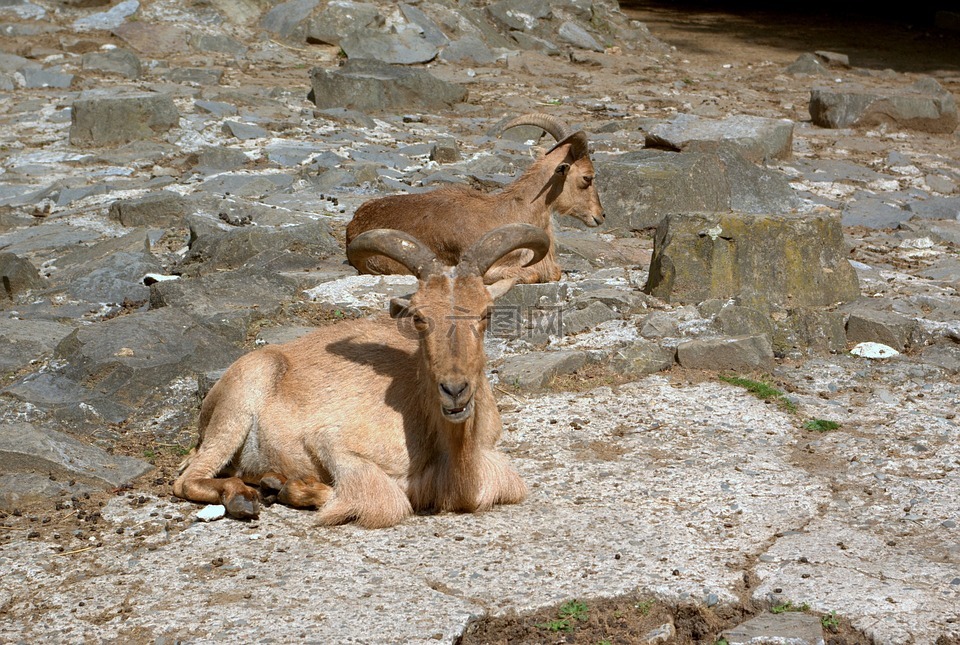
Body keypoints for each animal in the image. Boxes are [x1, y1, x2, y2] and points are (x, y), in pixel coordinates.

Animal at [172, 224, 548, 524]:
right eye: (419, 317)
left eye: (487, 313)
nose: (455, 390)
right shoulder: (331, 442)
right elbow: (383, 500)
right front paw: (297, 489)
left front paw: (283, 485)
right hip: (239, 401)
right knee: (188, 478)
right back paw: (243, 497)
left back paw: (267, 483)